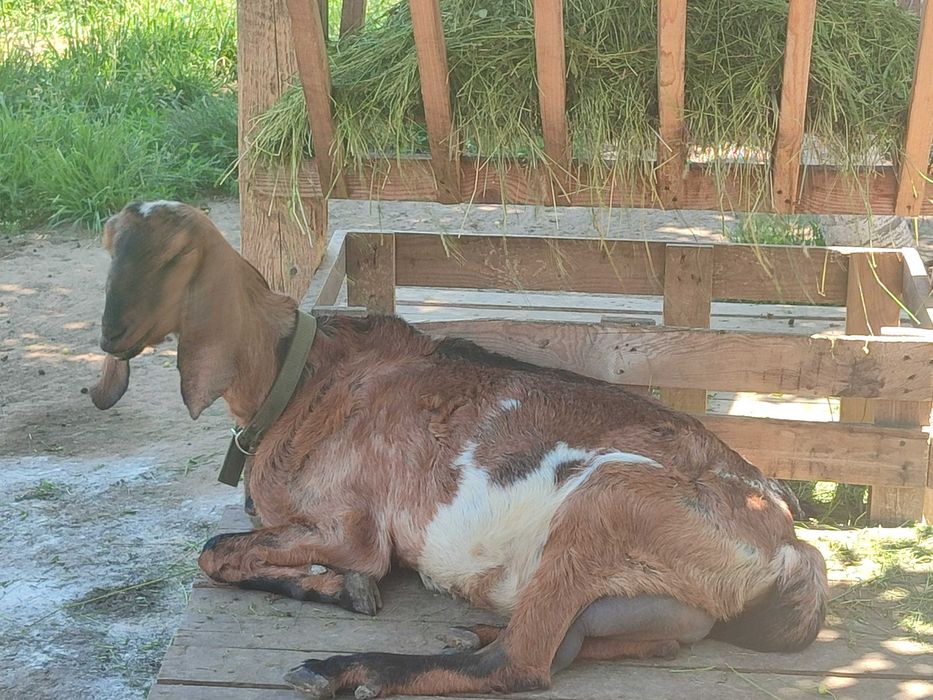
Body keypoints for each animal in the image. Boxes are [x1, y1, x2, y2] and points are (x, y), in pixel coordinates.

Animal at [93, 200, 827, 699]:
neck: (301, 376)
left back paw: (347, 669)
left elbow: (218, 551)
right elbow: (227, 550)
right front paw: (338, 587)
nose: (110, 334)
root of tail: (785, 537)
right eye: (112, 249)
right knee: (595, 644)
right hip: (663, 602)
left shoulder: (353, 528)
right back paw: (478, 630)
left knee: (520, 666)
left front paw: (346, 587)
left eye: (167, 259)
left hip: (609, 497)